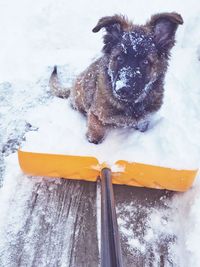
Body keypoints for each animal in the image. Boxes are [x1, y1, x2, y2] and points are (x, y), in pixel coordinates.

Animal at [49, 12, 183, 144]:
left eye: (145, 62)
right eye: (119, 58)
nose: (123, 89)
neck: (130, 105)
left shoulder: (144, 119)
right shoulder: (96, 114)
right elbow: (95, 131)